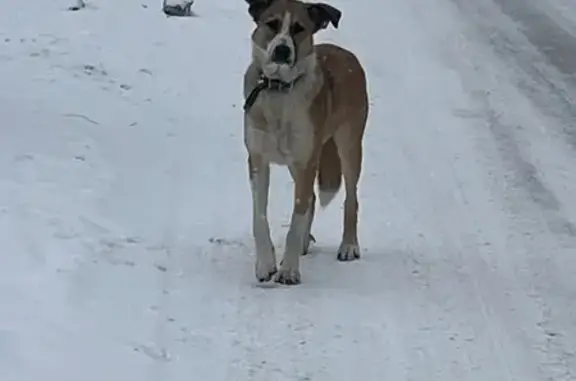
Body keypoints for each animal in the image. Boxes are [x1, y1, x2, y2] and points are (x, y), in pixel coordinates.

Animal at [242, 0, 368, 284]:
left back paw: (348, 245)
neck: (278, 92)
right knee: (311, 196)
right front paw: (265, 264)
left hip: (349, 144)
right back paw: (303, 244)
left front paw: (289, 270)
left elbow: (297, 216)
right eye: (272, 23)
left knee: (351, 198)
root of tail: (346, 54)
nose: (282, 49)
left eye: (299, 28)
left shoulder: (305, 160)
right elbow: (259, 215)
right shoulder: (257, 158)